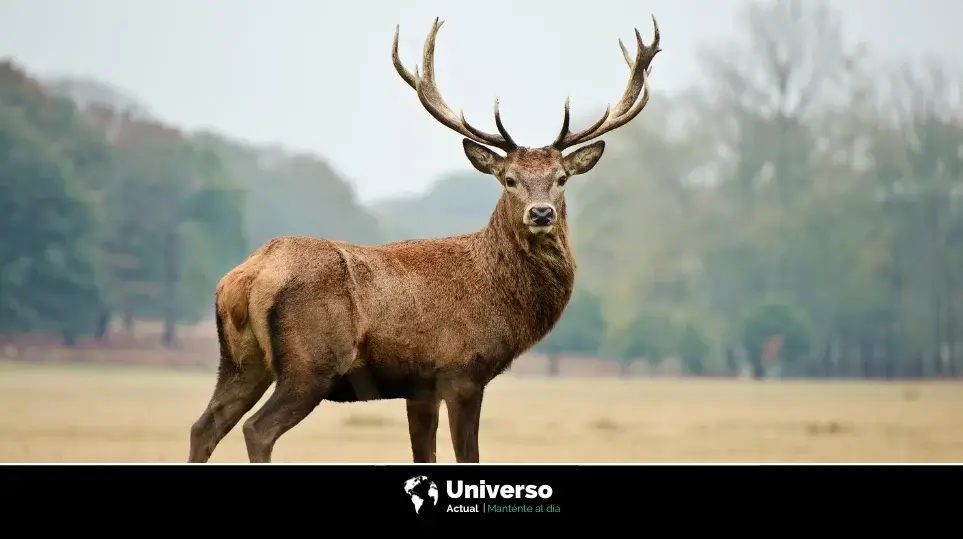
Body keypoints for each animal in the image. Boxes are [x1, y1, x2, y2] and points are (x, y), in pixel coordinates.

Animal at [187, 15, 661, 464]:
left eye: (561, 178)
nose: (540, 213)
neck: (498, 298)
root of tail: (245, 277)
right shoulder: (461, 371)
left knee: (203, 426)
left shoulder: (419, 388)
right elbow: (468, 456)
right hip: (310, 364)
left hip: (240, 361)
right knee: (256, 429)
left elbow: (424, 454)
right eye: (508, 179)